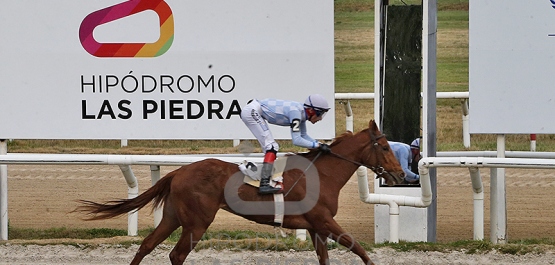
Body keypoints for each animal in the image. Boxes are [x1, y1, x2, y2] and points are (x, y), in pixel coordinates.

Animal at [75, 119, 404, 264]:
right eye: (385, 147)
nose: (401, 174)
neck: (322, 174)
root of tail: (178, 171)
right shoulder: (323, 220)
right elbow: (359, 248)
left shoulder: (315, 227)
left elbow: (327, 258)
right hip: (197, 222)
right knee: (176, 254)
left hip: (173, 216)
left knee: (146, 245)